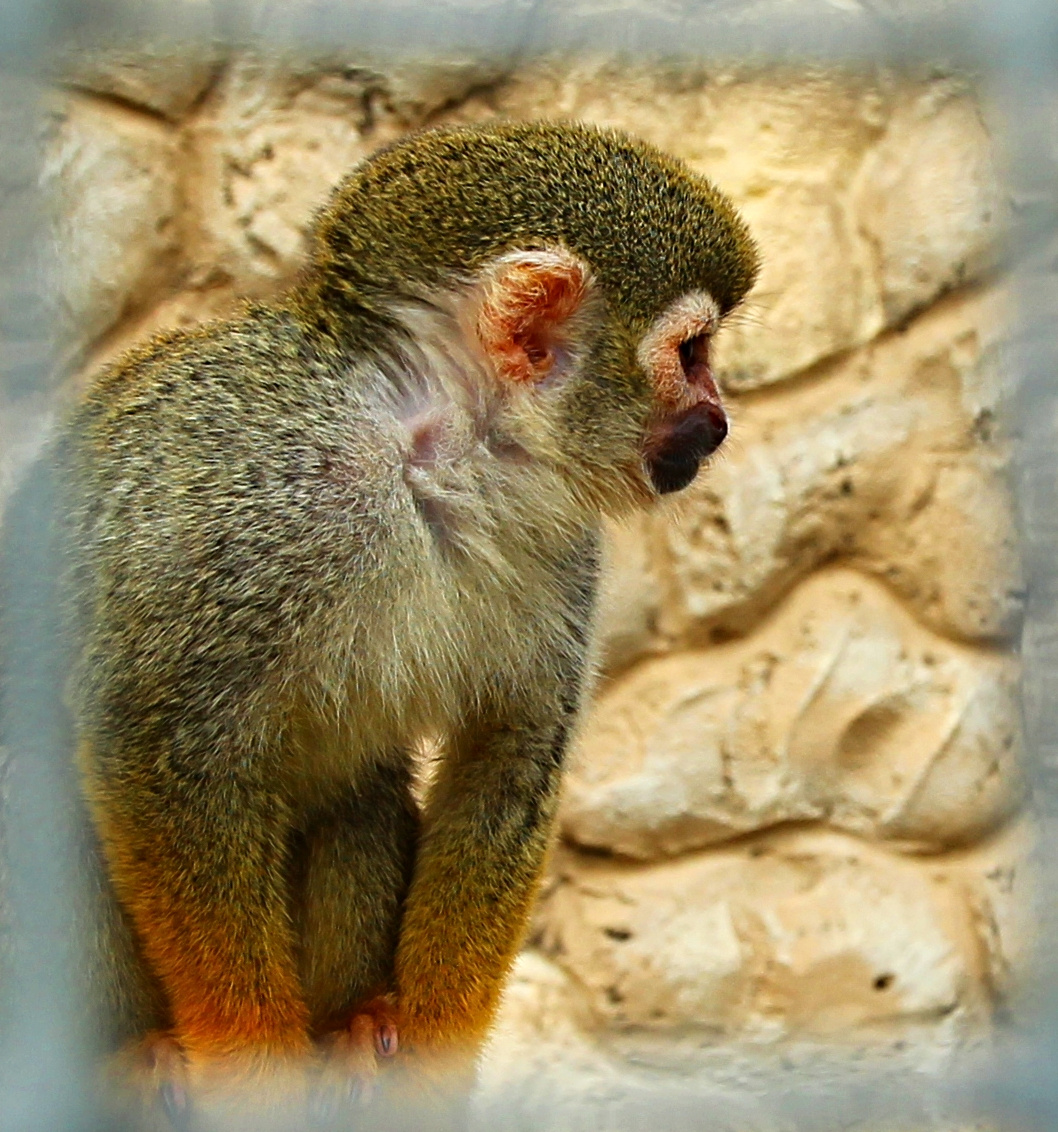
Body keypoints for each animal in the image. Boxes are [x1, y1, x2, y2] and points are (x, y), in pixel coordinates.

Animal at [4, 120, 757, 1123]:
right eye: (692, 354)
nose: (717, 422)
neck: (434, 451)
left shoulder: (563, 543)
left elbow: (506, 758)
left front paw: (432, 1064)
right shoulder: (254, 497)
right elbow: (156, 747)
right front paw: (250, 1069)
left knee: (358, 793)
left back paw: (350, 1022)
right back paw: (128, 1053)